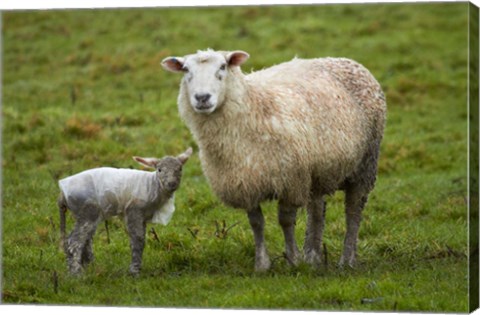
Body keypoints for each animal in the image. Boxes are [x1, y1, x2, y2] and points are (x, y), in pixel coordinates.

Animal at [56, 149, 191, 276]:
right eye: (159, 169)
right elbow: (138, 239)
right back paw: (76, 273)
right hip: (88, 210)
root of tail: (62, 194)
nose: (172, 184)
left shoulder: (142, 216)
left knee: (85, 240)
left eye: (180, 168)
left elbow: (140, 238)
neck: (153, 185)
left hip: (82, 213)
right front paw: (135, 271)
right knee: (74, 240)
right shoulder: (133, 211)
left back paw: (89, 267)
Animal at [161, 48, 386, 272]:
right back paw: (312, 257)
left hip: (365, 164)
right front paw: (262, 264)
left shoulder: (290, 181)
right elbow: (256, 223)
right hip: (316, 171)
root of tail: (345, 60)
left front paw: (293, 259)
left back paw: (346, 260)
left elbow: (286, 221)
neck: (255, 107)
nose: (202, 98)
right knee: (316, 211)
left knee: (353, 211)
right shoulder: (246, 183)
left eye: (223, 67)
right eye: (185, 69)